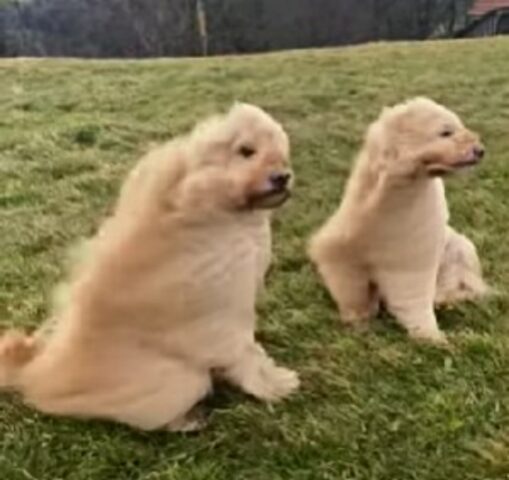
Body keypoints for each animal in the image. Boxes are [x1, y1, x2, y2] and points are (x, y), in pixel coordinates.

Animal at [0, 102, 300, 432]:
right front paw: (276, 384)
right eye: (246, 151)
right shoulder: (225, 311)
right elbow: (247, 354)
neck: (212, 202)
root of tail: (35, 376)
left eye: (281, 150)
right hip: (180, 381)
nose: (283, 176)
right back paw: (188, 420)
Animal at [308, 97, 486, 344]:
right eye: (445, 132)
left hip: (456, 249)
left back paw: (444, 300)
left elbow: (411, 290)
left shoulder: (413, 236)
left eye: (459, 126)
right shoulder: (349, 239)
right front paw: (358, 319)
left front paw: (433, 336)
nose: (480, 150)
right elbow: (348, 279)